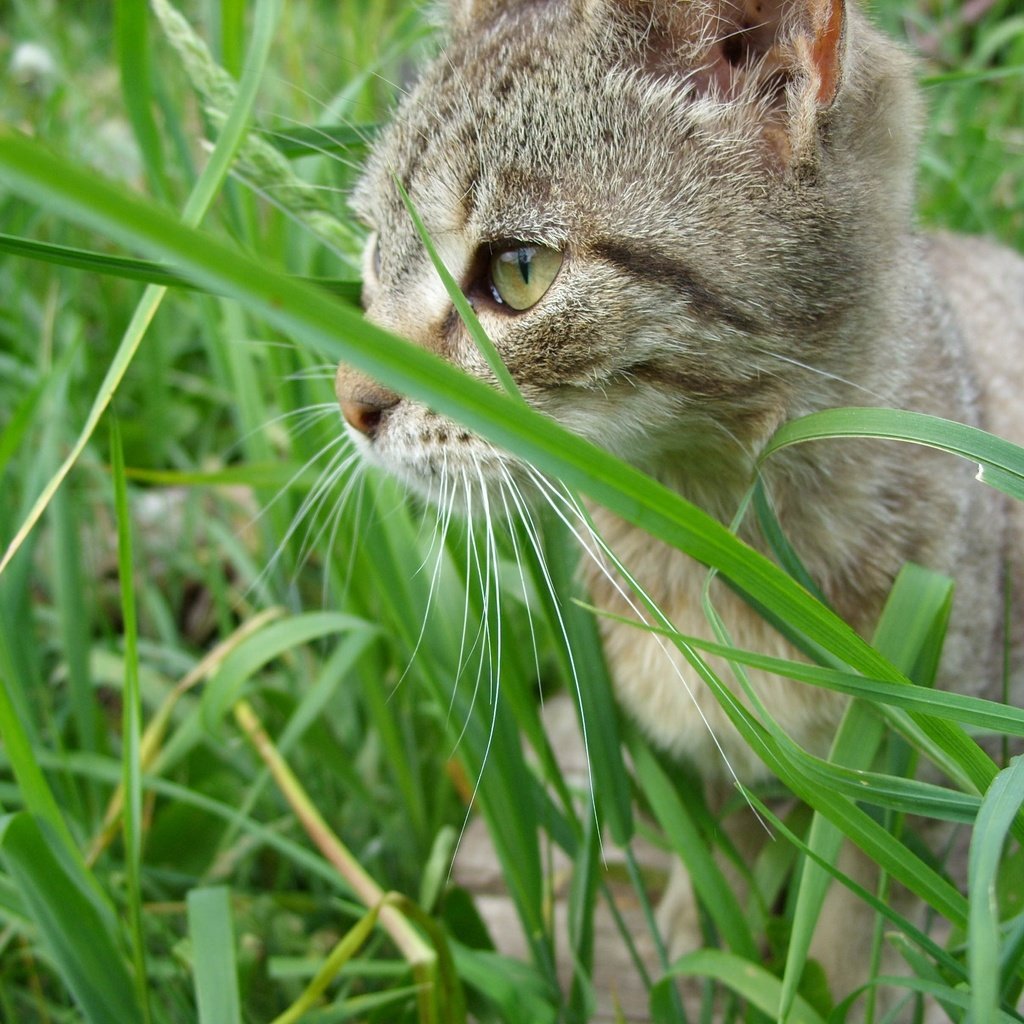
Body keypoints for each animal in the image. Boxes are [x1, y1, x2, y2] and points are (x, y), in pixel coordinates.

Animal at [333, 0, 1024, 1015]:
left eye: (520, 269)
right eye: (373, 250)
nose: (351, 403)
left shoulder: (911, 808)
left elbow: (861, 964)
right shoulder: (714, 782)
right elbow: (714, 927)